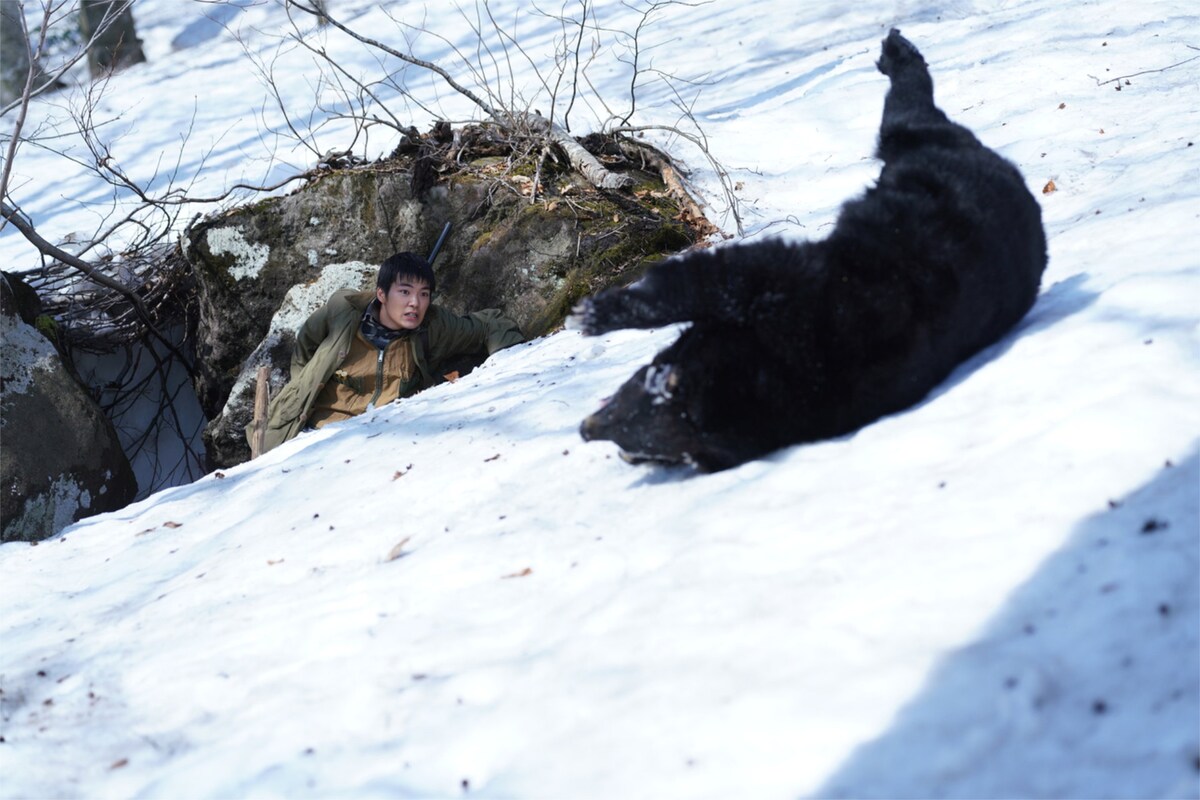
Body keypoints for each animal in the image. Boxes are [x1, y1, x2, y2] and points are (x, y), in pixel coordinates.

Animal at [576, 29, 1046, 470]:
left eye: (627, 408)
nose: (585, 429)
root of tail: (1016, 179)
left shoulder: (786, 290)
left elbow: (721, 276)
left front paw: (599, 313)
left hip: (926, 150)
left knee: (909, 112)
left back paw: (896, 52)